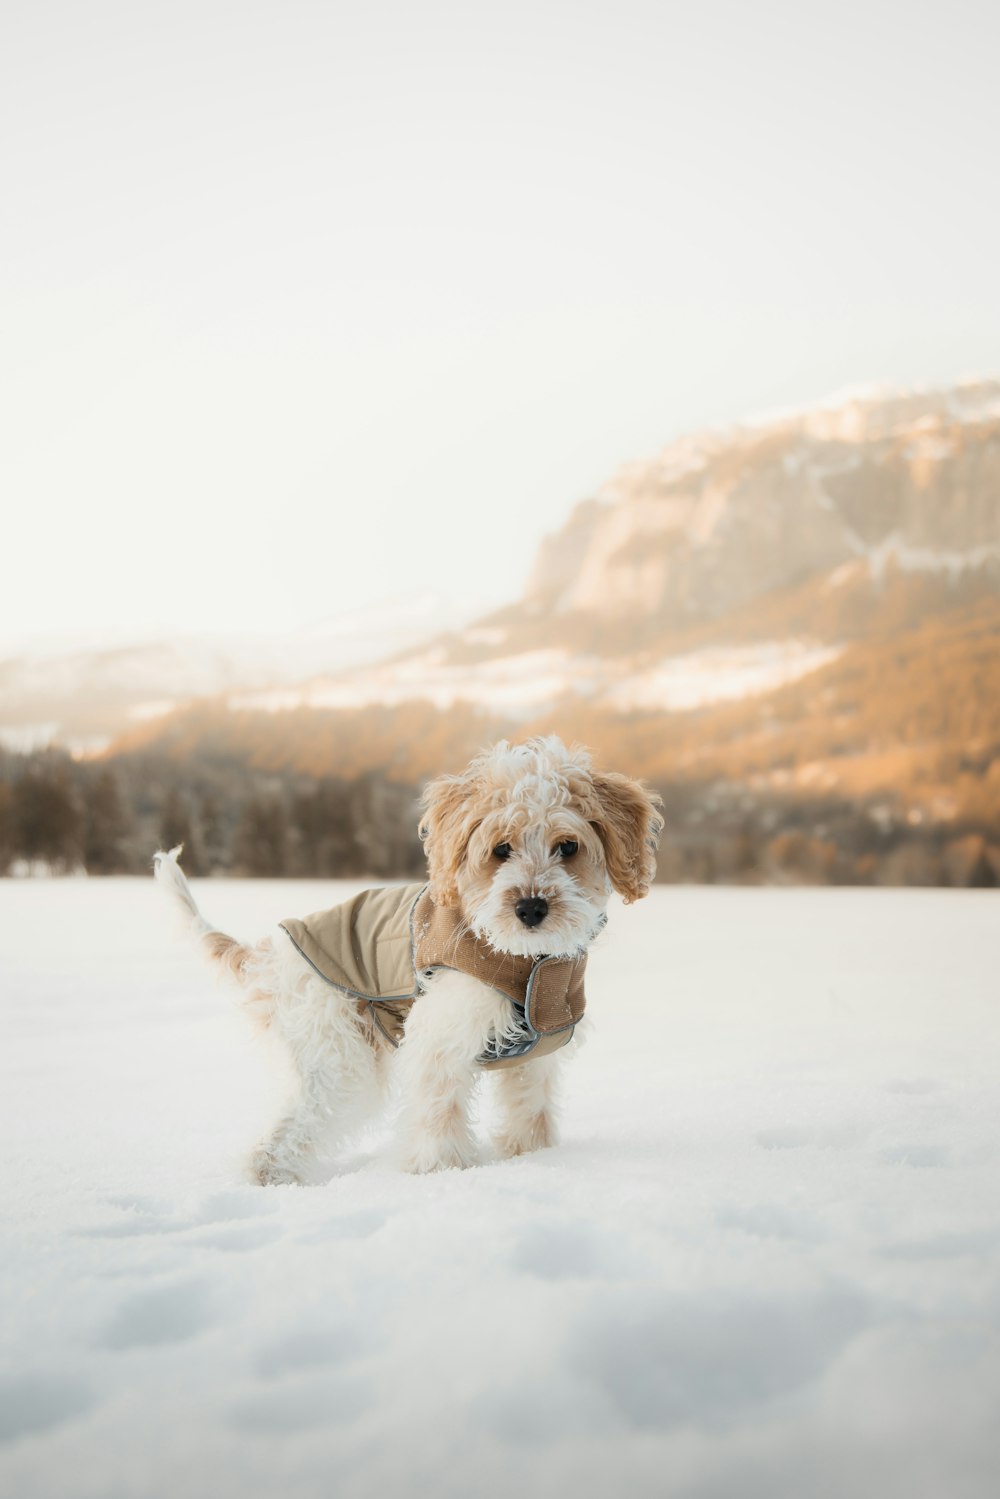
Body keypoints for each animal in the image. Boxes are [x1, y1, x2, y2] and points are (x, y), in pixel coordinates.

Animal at [152, 734, 659, 1181]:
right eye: (501, 848)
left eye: (568, 846)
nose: (531, 908)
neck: (529, 962)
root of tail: (270, 960)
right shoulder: (441, 1036)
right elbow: (439, 1112)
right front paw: (442, 1173)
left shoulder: (537, 1056)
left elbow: (529, 1112)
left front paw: (535, 1159)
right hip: (339, 1060)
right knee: (280, 1138)